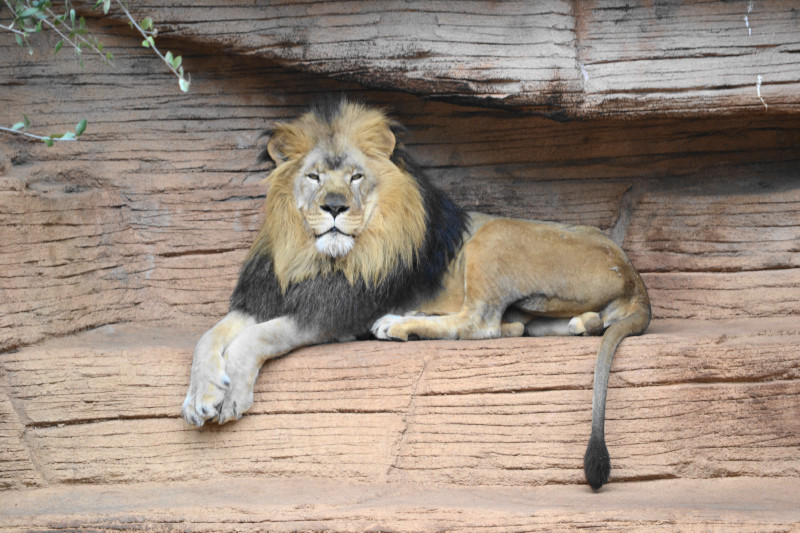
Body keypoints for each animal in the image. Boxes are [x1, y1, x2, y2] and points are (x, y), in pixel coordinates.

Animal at [181, 97, 648, 488]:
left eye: (356, 177)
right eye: (312, 177)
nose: (334, 207)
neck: (314, 258)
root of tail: (633, 274)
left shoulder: (334, 312)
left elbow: (257, 337)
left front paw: (231, 393)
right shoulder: (269, 296)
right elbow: (210, 336)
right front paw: (200, 397)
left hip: (494, 234)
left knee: (481, 324)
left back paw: (398, 325)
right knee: (524, 326)